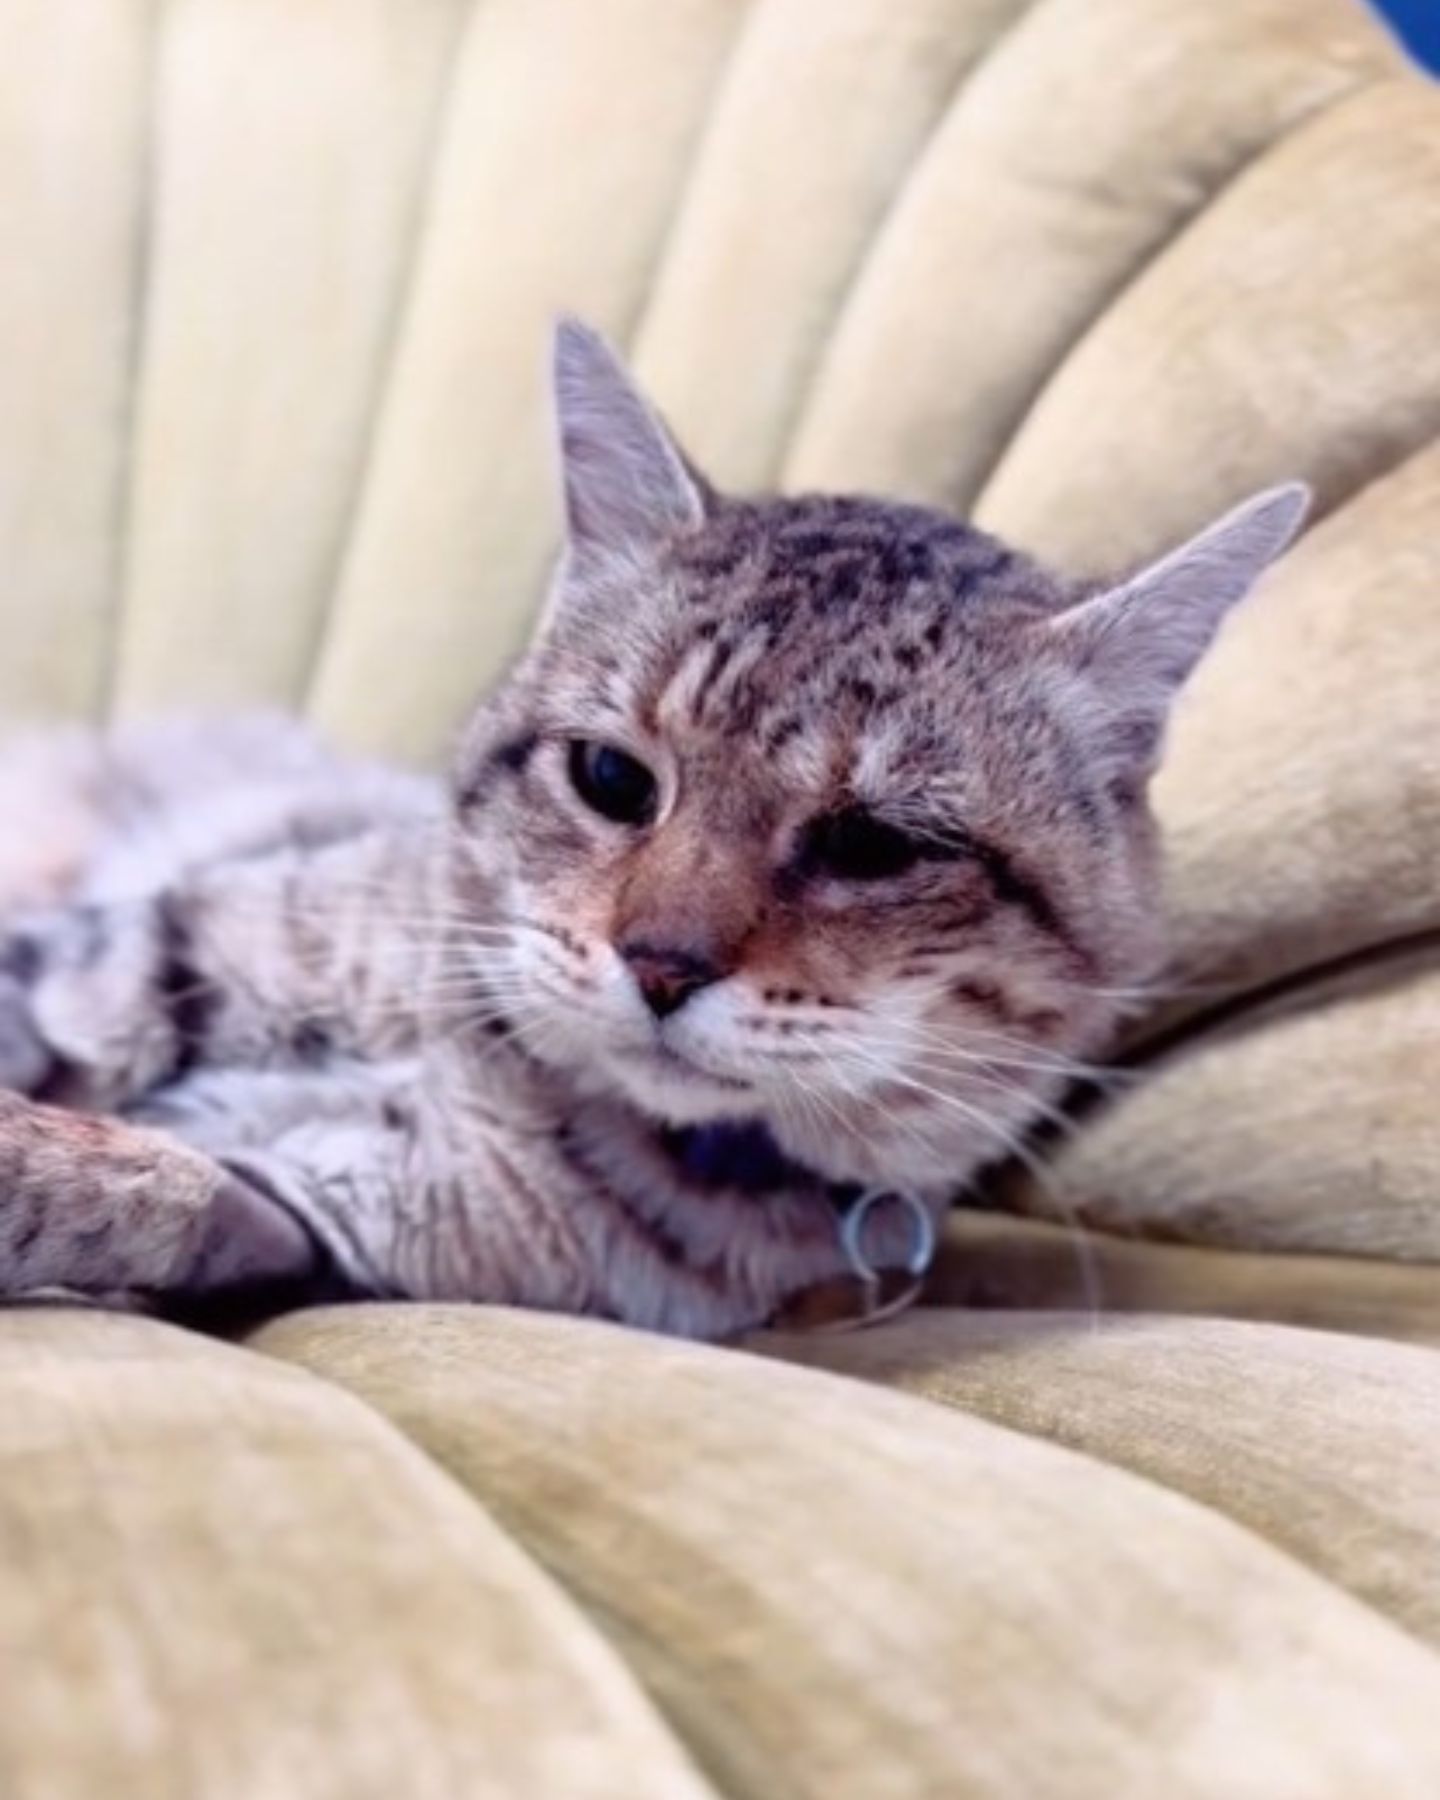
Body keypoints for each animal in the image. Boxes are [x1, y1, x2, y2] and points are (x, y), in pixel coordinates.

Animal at [0, 320, 1310, 1339]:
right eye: (612, 778)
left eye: (872, 847)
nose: (662, 965)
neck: (507, 1062)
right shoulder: (149, 950)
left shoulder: (338, 1214)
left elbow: (161, 1182)